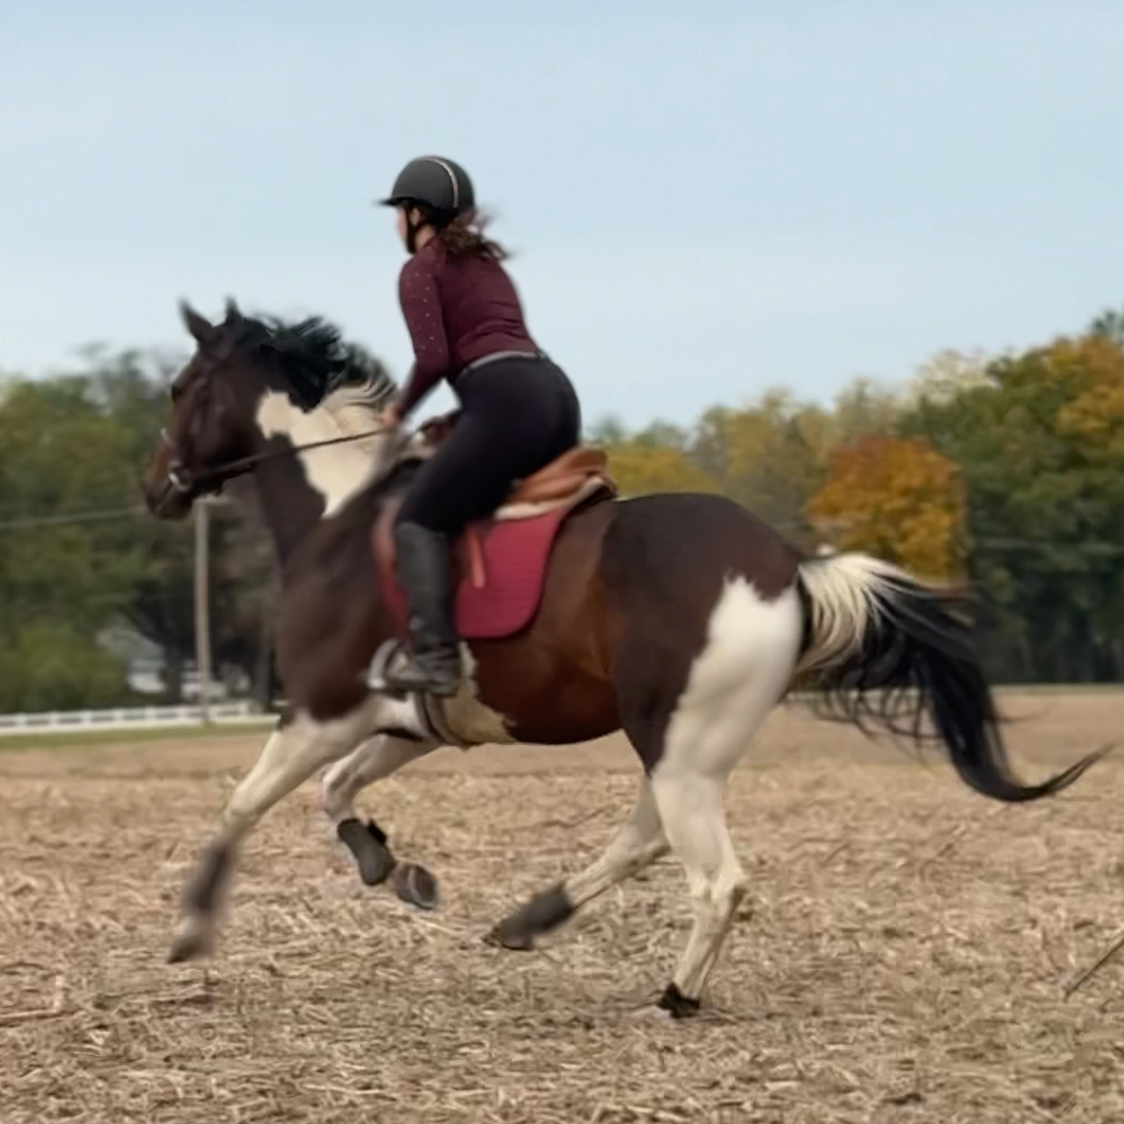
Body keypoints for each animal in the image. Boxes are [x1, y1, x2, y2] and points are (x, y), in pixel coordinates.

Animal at [142, 298, 1106, 1019]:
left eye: (182, 387)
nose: (154, 489)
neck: (341, 516)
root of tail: (788, 565)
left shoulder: (319, 709)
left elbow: (243, 803)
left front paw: (192, 929)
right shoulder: (408, 722)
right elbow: (337, 792)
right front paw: (392, 866)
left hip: (678, 745)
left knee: (713, 878)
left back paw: (674, 993)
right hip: (682, 743)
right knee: (645, 840)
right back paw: (531, 921)